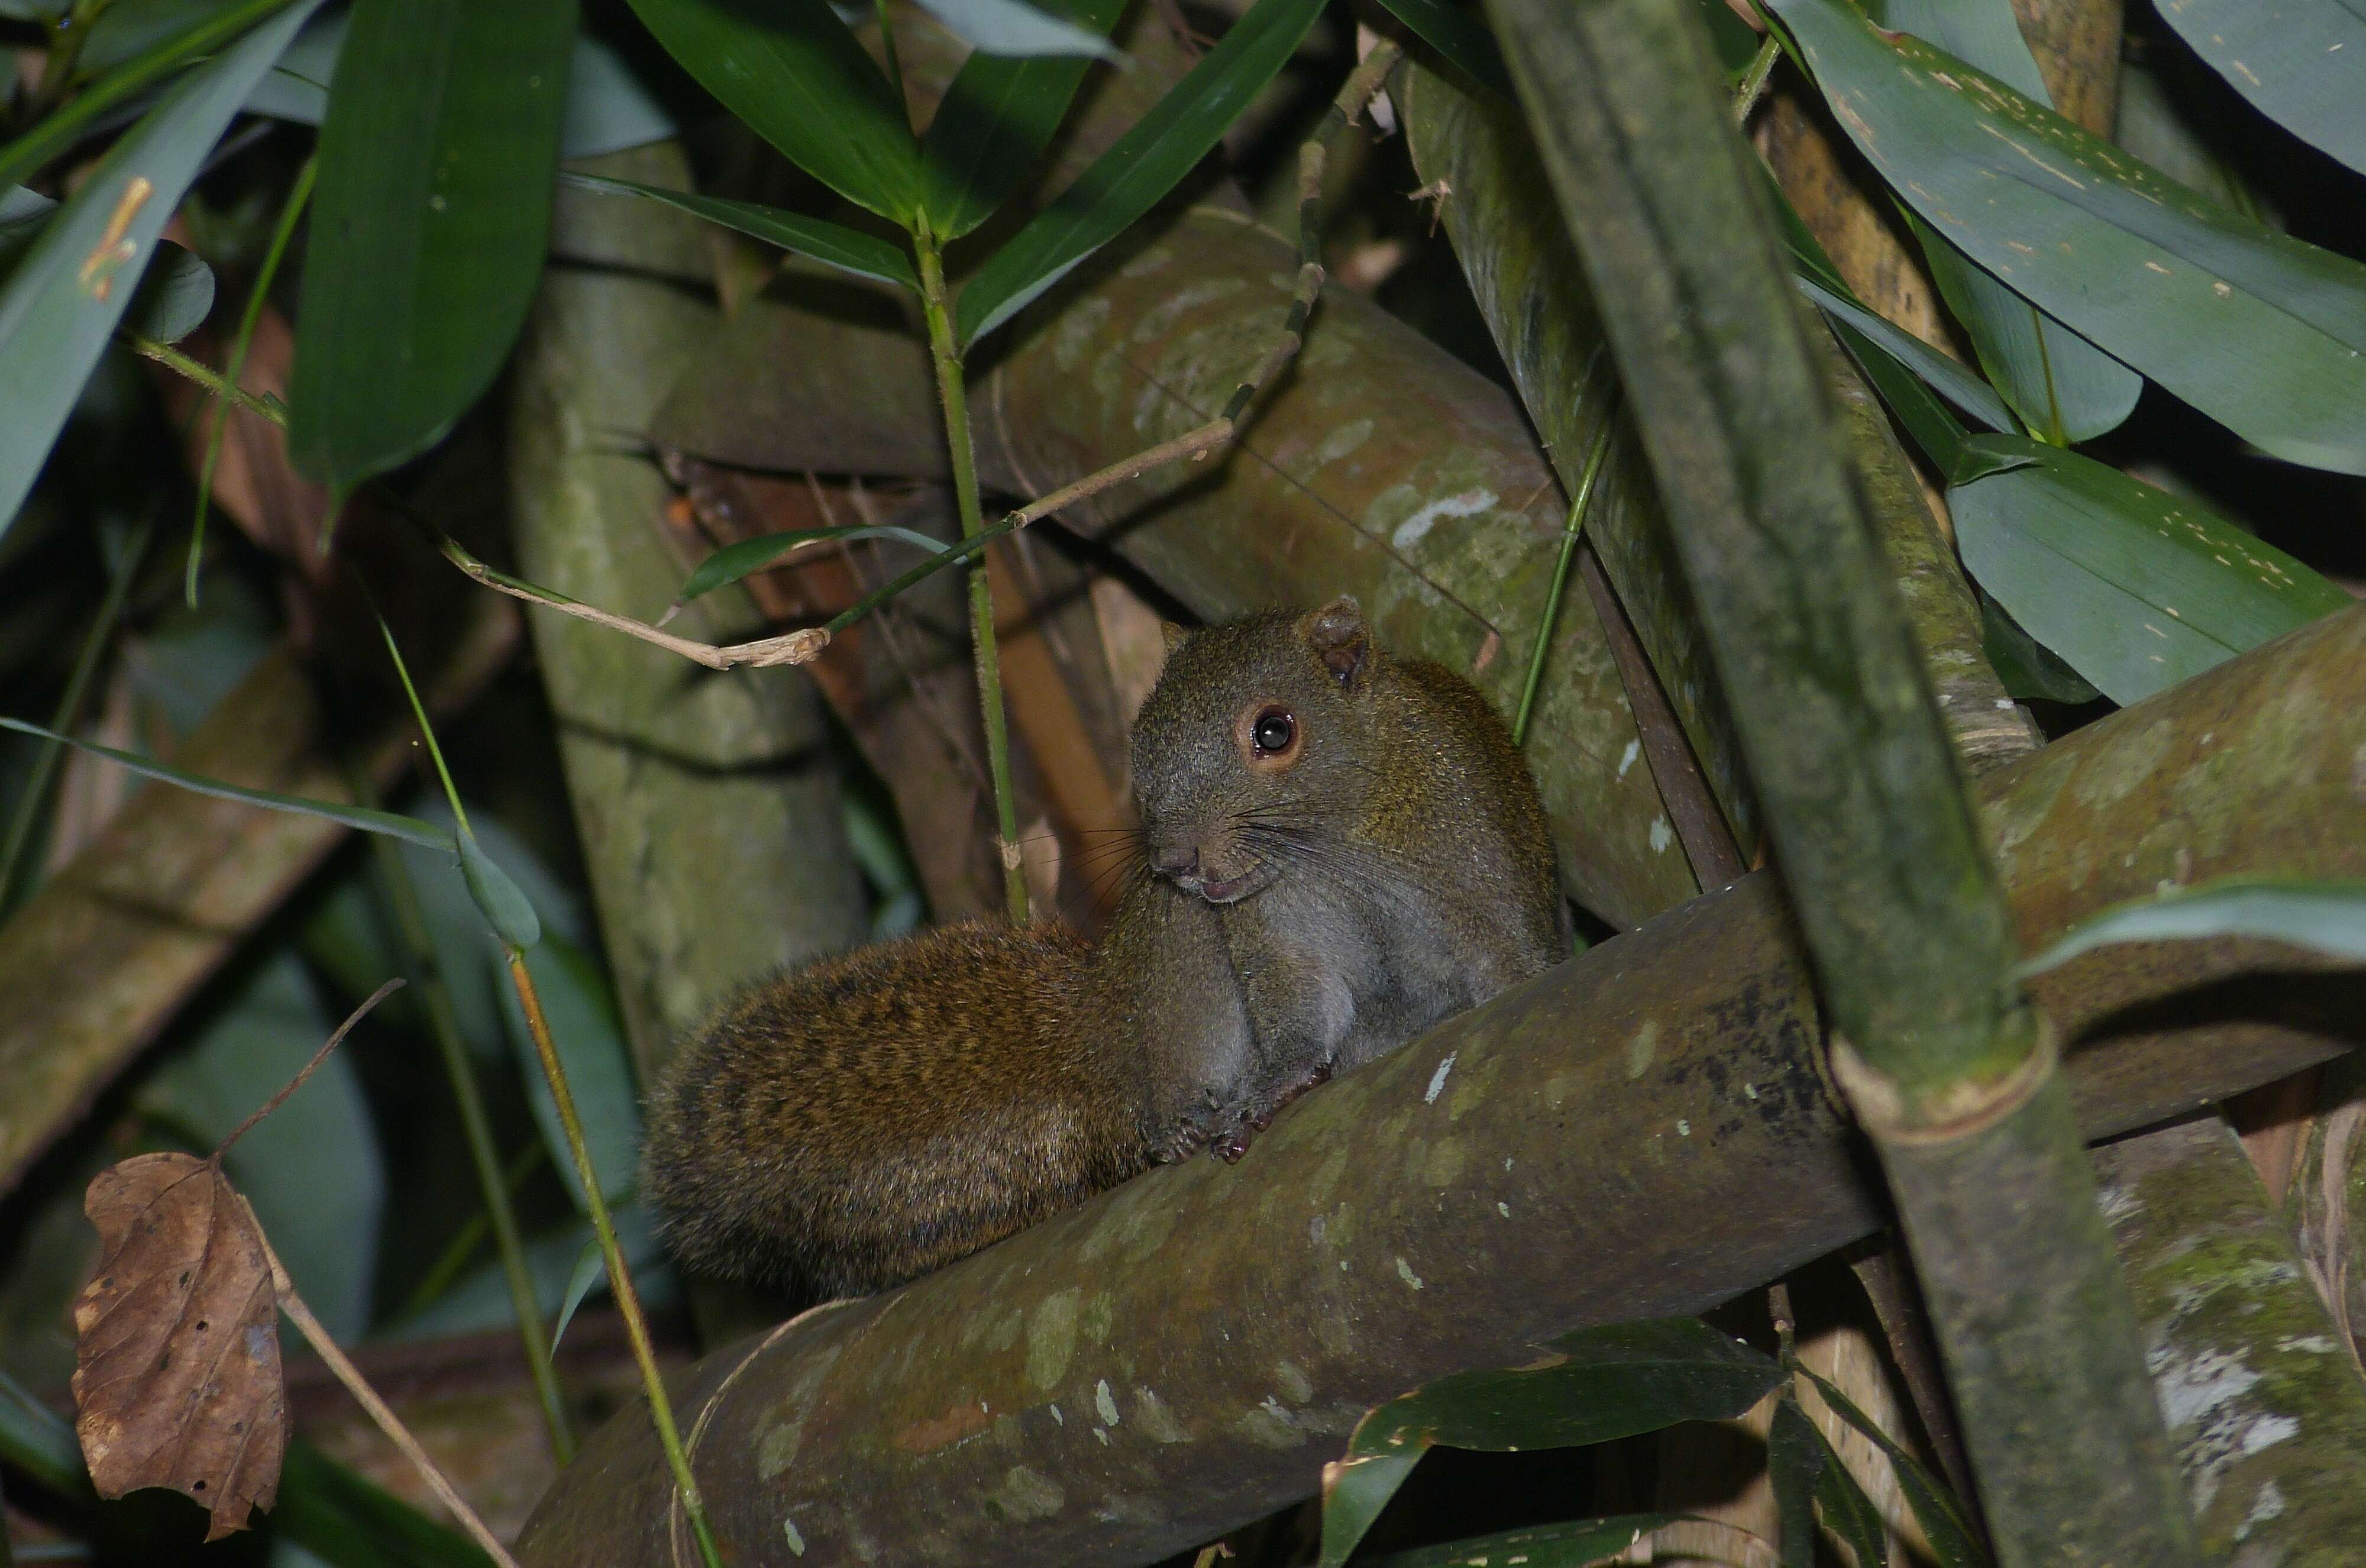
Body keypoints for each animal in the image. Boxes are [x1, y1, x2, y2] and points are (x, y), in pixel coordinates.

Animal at [648, 600, 1571, 1296]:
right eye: (1144, 741)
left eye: (1275, 732)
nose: (1175, 858)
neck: (1333, 842)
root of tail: (1105, 1028)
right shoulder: (1269, 935)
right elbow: (1300, 1011)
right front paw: (1280, 1080)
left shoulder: (1476, 866)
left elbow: (1511, 965)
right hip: (1172, 962)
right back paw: (1181, 1121)